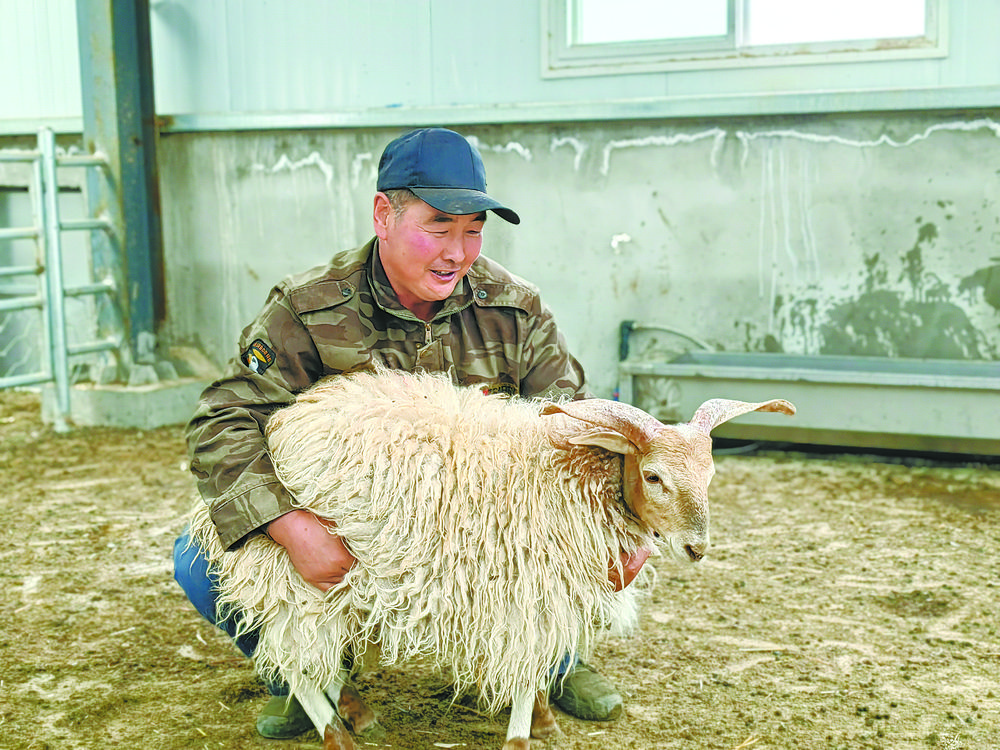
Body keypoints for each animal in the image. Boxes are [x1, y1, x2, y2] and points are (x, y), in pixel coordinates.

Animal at [186, 367, 795, 750]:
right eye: (653, 476)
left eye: (711, 472)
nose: (698, 546)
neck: (570, 474)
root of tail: (283, 421)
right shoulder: (527, 591)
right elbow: (525, 671)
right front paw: (523, 732)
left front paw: (544, 718)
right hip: (290, 571)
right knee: (297, 665)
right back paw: (337, 734)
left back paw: (358, 712)